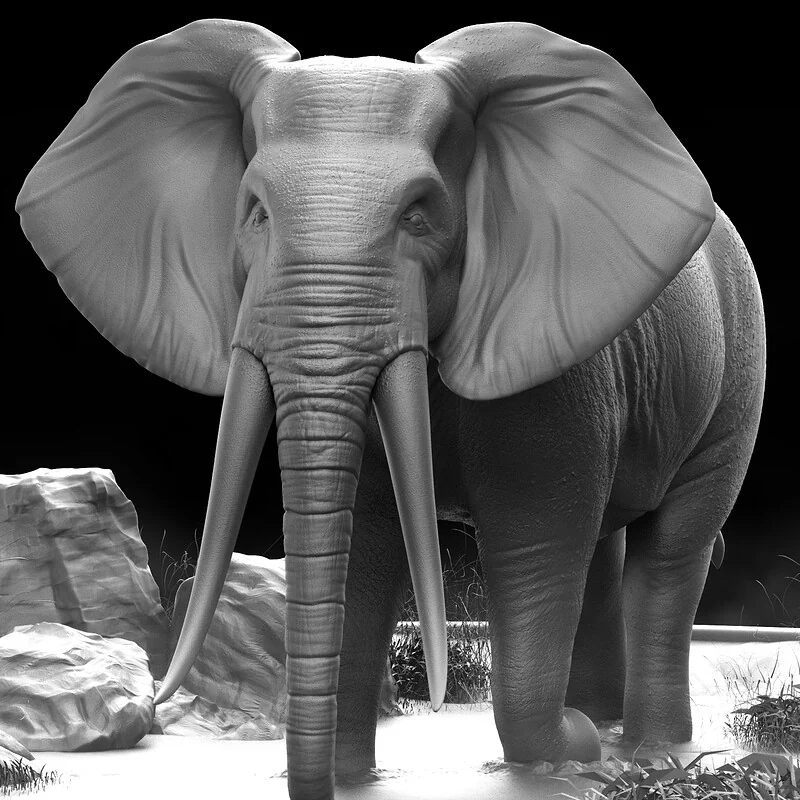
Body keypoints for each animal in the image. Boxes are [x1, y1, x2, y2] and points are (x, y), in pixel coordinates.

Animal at [16, 18, 766, 800]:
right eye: (254, 214)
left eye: (419, 215)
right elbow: (366, 544)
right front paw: (352, 780)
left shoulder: (559, 368)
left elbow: (537, 540)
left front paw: (570, 751)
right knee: (608, 548)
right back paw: (608, 726)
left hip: (738, 368)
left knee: (670, 549)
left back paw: (644, 749)